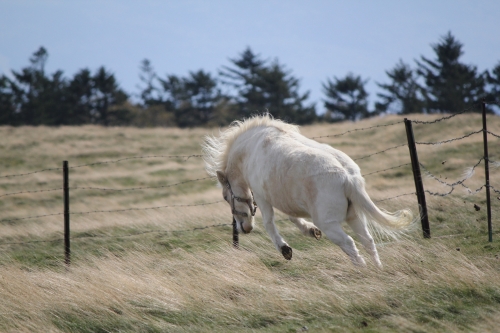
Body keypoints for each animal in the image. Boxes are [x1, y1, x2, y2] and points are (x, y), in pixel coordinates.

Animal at [201, 115, 412, 268]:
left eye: (226, 197)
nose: (243, 228)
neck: (250, 150)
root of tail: (348, 177)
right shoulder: (286, 198)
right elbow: (293, 217)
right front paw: (311, 231)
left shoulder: (262, 197)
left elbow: (269, 223)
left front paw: (285, 249)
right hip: (353, 216)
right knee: (367, 241)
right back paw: (378, 270)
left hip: (330, 224)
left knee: (349, 244)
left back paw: (362, 271)